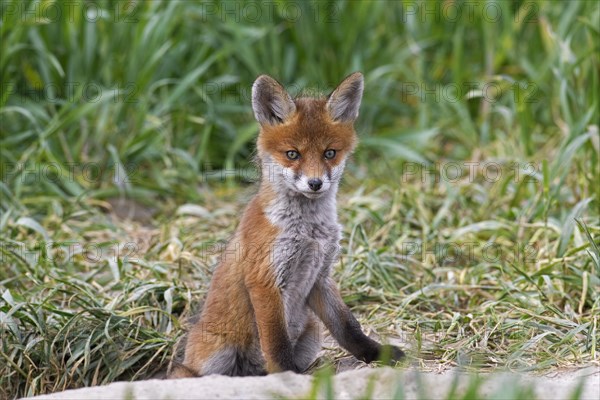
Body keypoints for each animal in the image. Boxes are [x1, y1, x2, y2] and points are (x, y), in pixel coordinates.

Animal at [169, 72, 404, 378]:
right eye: (293, 154)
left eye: (329, 153)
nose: (315, 183)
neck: (309, 232)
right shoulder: (265, 279)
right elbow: (276, 342)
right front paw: (286, 375)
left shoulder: (321, 276)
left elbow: (348, 327)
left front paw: (376, 354)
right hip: (217, 354)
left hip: (312, 333)